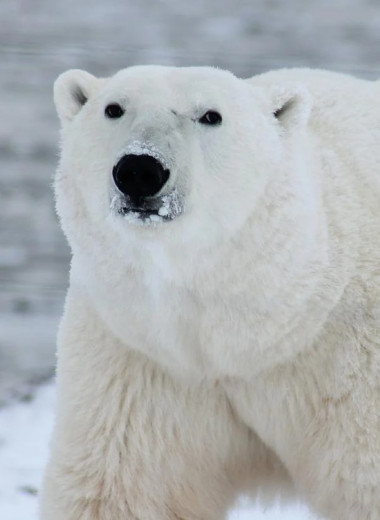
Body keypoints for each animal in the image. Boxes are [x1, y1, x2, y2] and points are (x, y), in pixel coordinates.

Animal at [40, 66, 380, 520]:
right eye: (113, 108)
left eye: (210, 116)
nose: (140, 170)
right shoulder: (142, 359)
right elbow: (124, 489)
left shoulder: (350, 365)